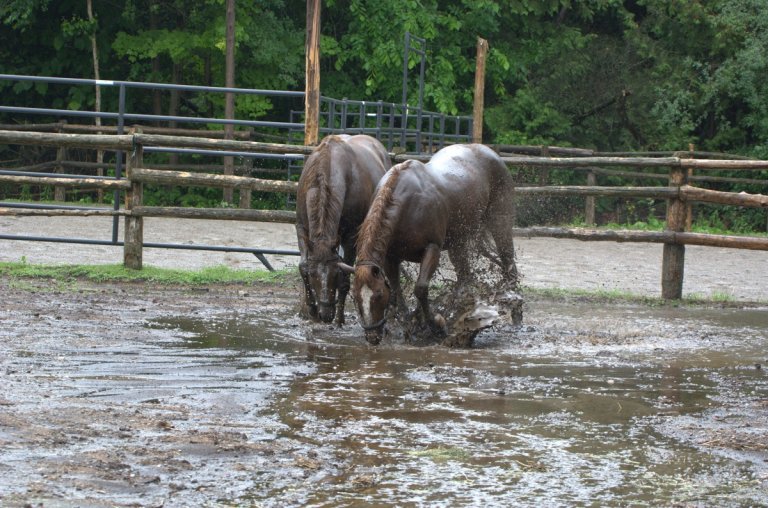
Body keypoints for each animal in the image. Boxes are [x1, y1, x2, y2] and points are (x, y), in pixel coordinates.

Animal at [296, 134, 391, 326]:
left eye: (334, 275)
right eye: (313, 275)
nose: (325, 315)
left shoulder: (350, 237)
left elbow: (345, 278)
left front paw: (339, 319)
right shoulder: (301, 228)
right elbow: (303, 265)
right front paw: (311, 308)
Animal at [339, 143, 518, 344]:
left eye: (377, 295)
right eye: (355, 297)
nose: (372, 336)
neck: (407, 205)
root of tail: (490, 152)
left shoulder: (432, 249)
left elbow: (421, 288)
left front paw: (435, 325)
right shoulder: (391, 258)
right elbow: (396, 291)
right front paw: (405, 325)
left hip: (499, 226)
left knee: (509, 266)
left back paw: (515, 313)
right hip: (458, 244)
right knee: (465, 278)